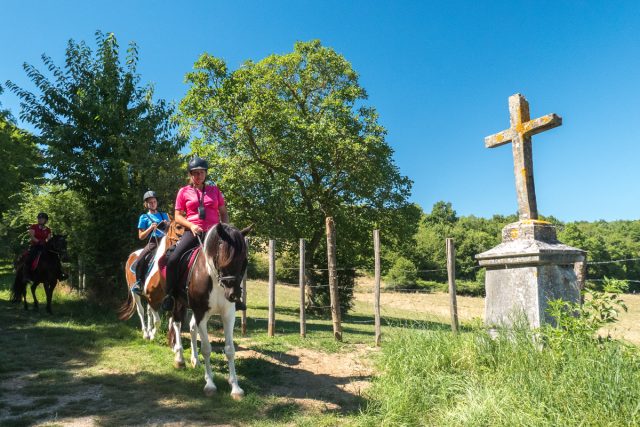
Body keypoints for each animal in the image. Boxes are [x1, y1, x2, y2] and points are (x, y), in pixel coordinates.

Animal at [168, 224, 250, 402]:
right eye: (226, 258)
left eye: (244, 261)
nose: (234, 295)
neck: (215, 279)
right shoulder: (201, 314)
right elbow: (206, 348)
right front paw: (210, 385)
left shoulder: (228, 315)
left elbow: (230, 350)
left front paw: (236, 388)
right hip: (178, 302)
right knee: (177, 323)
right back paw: (180, 359)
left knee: (192, 328)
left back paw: (195, 360)